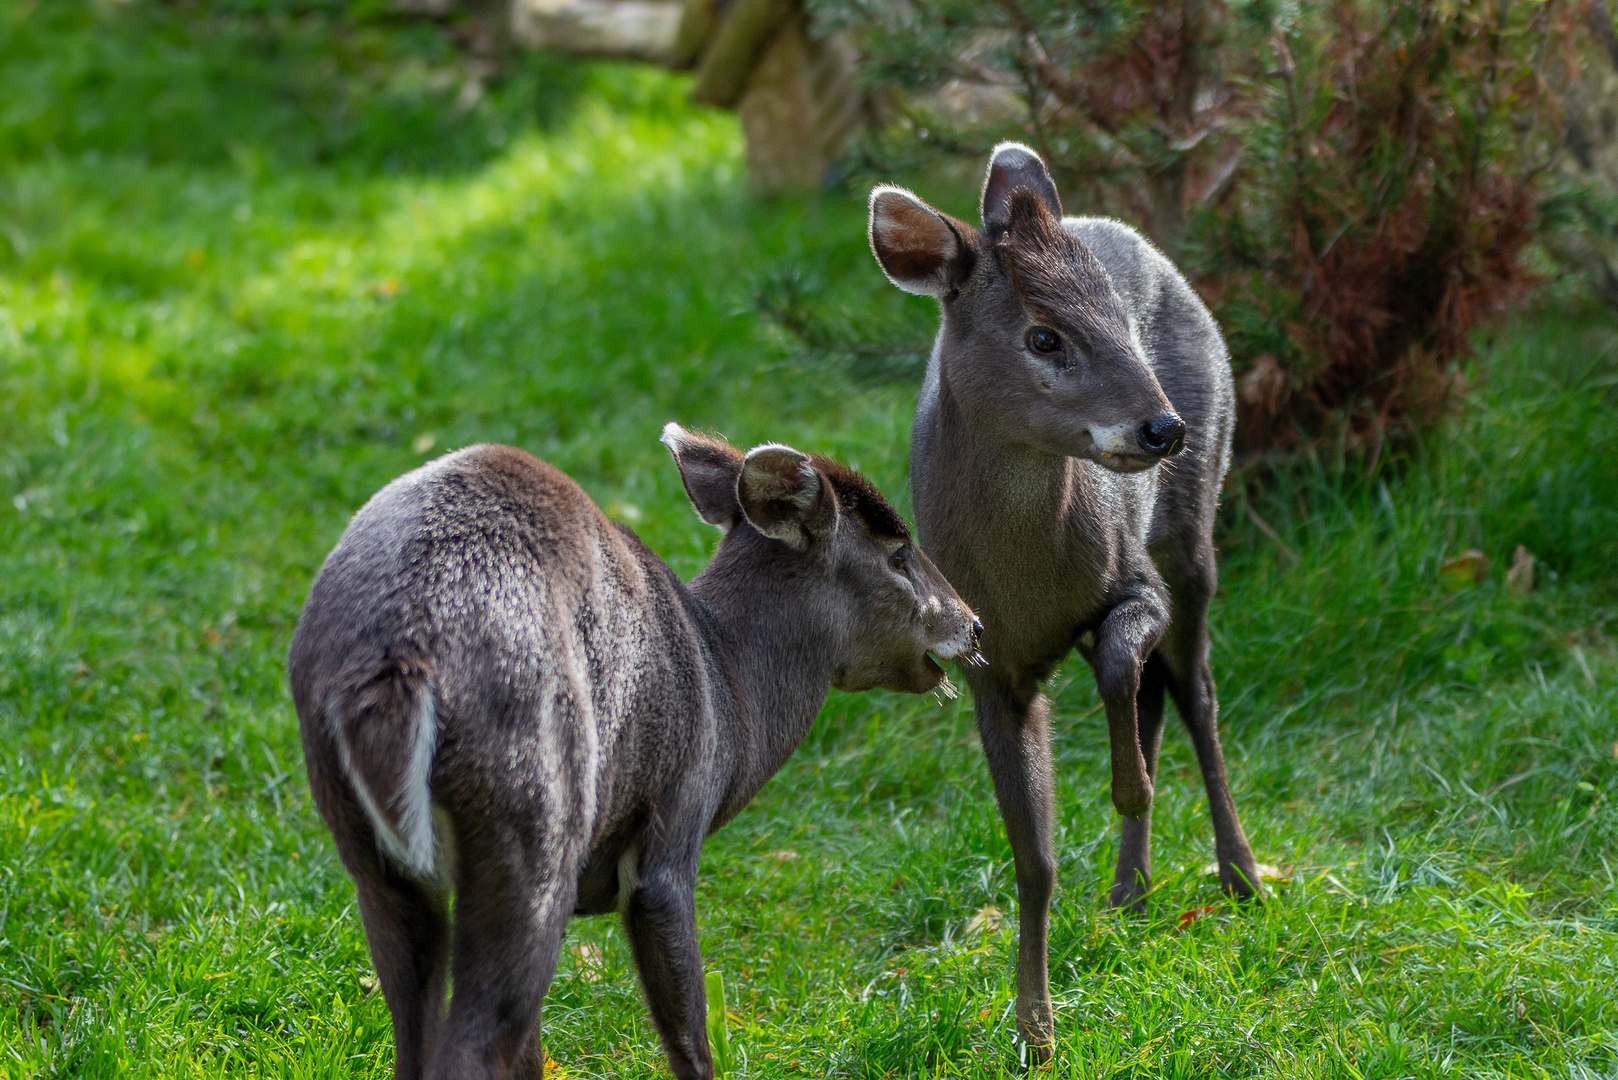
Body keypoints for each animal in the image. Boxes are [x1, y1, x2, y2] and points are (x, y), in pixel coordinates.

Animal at [284, 427, 977, 1080]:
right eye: (898, 553)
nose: (973, 623)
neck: (729, 696)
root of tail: (396, 659)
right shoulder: (675, 824)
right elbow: (690, 1038)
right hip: (535, 817)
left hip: (371, 856)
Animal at [873, 141, 1262, 1055]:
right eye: (1043, 336)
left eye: (1121, 319)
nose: (1162, 428)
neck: (1024, 584)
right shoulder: (988, 668)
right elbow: (1033, 856)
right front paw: (1034, 1027)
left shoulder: (1135, 579)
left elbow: (1124, 658)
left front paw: (1130, 787)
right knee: (1161, 691)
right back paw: (1130, 890)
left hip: (1192, 530)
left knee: (1193, 689)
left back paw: (1239, 875)